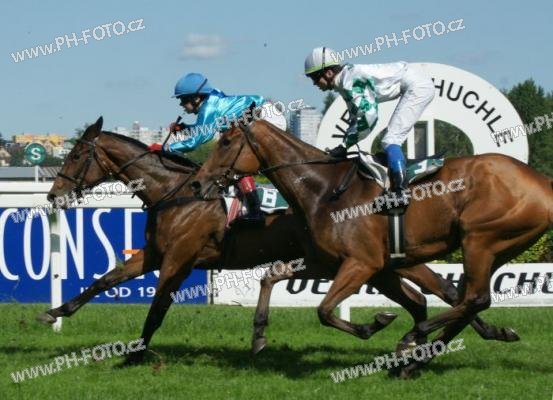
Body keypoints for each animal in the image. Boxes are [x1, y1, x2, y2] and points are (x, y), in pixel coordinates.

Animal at [41, 117, 518, 365]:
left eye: (76, 154)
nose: (52, 194)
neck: (174, 192)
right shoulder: (157, 253)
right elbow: (104, 280)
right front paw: (56, 312)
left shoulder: (179, 258)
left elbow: (157, 307)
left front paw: (136, 352)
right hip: (379, 266)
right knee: (428, 296)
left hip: (386, 261)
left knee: (444, 291)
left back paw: (473, 332)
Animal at [190, 118, 553, 377]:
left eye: (225, 142)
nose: (197, 182)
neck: (323, 190)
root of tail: (541, 182)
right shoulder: (328, 262)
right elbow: (271, 275)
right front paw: (259, 336)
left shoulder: (362, 263)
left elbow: (324, 310)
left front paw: (374, 324)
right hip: (496, 248)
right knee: (465, 300)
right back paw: (417, 360)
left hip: (480, 240)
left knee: (473, 298)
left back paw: (412, 340)